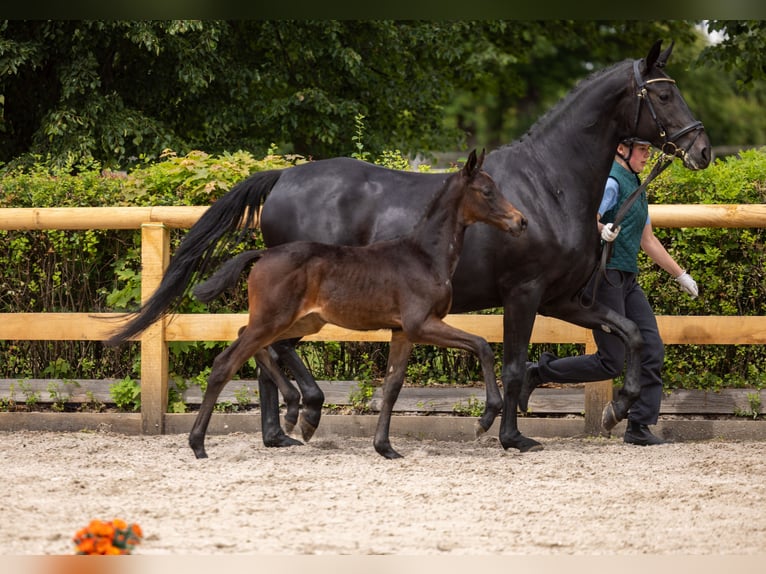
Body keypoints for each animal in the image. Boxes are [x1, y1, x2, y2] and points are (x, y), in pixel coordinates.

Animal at [185, 149, 527, 459]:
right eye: (487, 191)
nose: (520, 221)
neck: (425, 256)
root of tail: (263, 254)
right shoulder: (422, 324)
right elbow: (482, 344)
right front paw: (485, 418)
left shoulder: (402, 332)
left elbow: (392, 387)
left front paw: (385, 447)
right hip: (273, 319)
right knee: (226, 363)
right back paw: (200, 443)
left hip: (300, 321)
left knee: (254, 341)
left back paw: (297, 410)